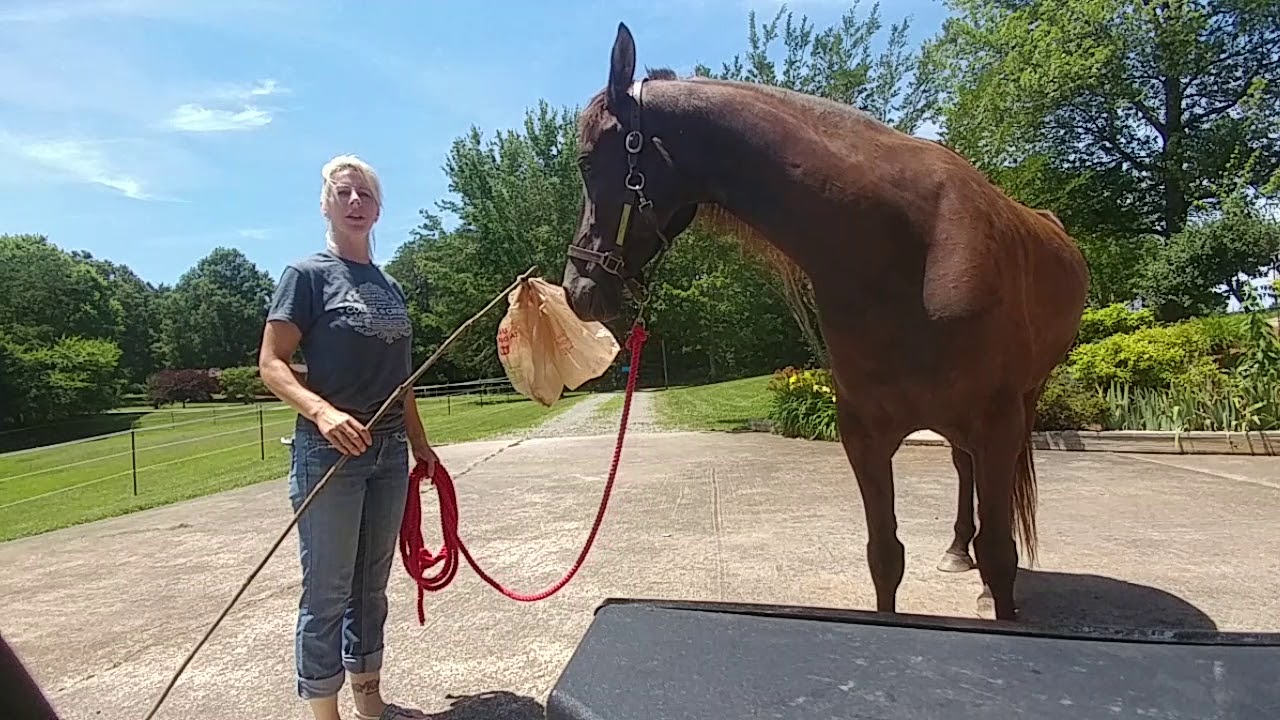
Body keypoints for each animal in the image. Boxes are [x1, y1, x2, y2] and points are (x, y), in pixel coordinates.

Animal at [560, 22, 1090, 621]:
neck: (909, 247)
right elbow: (885, 555)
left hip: (1024, 401)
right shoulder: (863, 434)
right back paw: (957, 550)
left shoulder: (995, 423)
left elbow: (1000, 555)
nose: (578, 289)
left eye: (586, 162)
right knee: (961, 467)